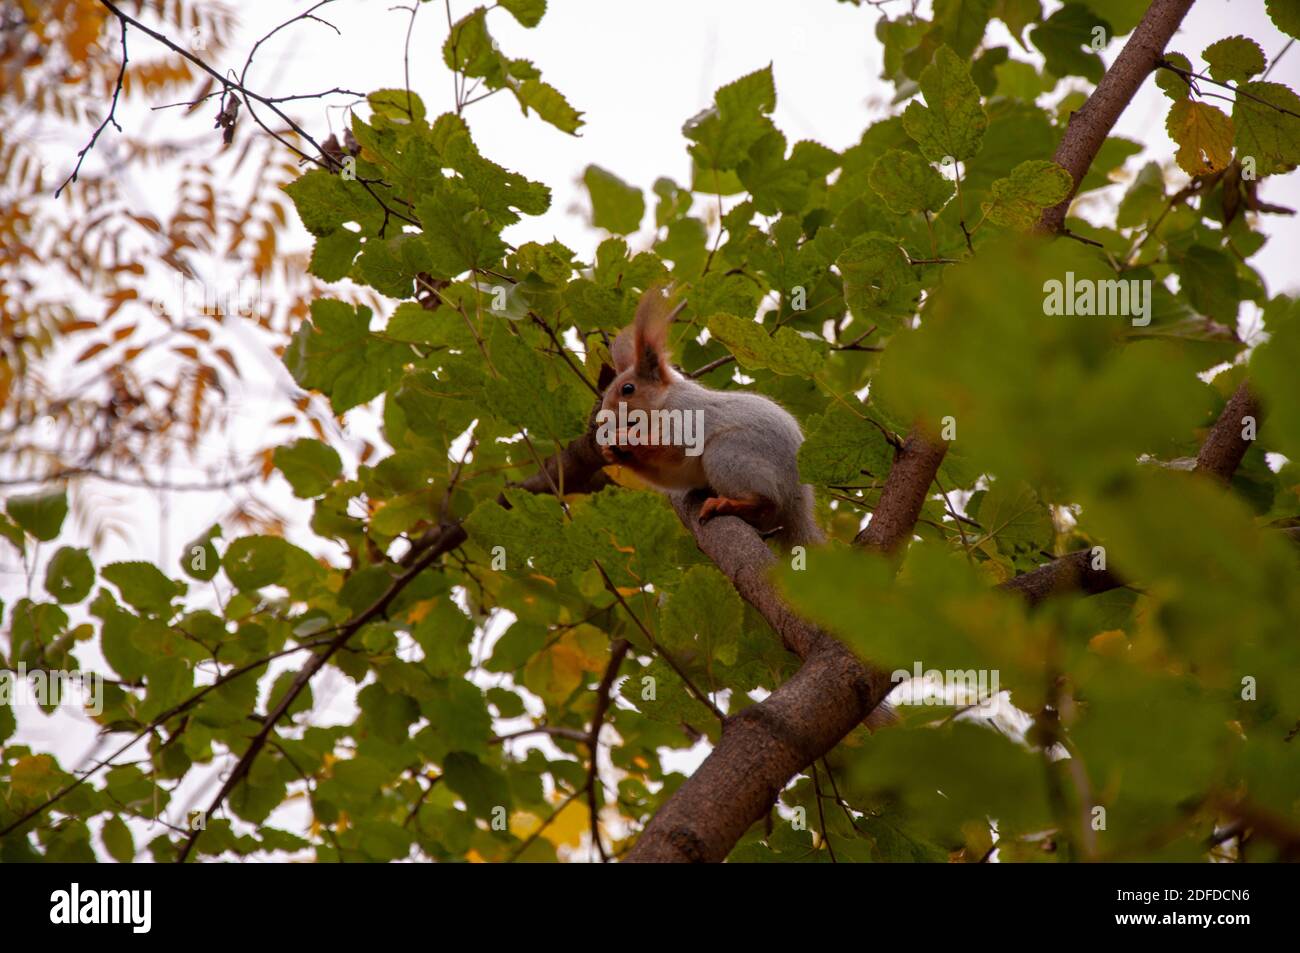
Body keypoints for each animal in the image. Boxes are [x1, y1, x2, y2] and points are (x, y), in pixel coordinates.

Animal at [598, 287, 825, 548]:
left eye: (628, 389)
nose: (601, 420)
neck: (664, 401)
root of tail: (797, 504)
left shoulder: (687, 415)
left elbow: (674, 449)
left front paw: (624, 438)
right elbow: (669, 475)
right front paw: (612, 453)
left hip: (728, 455)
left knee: (767, 503)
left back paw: (725, 504)